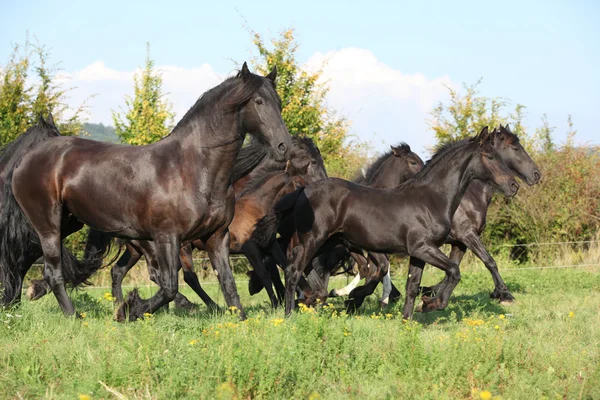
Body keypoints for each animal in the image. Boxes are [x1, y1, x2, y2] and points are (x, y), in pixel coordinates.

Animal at [0, 61, 290, 318]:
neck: (192, 169)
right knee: (53, 271)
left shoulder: (217, 237)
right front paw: (129, 311)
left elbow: (229, 286)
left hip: (70, 223)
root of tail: (27, 159)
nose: (282, 146)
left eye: (278, 102)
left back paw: (23, 296)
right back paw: (72, 315)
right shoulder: (167, 237)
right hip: (48, 224)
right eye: (258, 102)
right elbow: (169, 286)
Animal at [253, 126, 520, 318]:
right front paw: (431, 303)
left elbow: (413, 285)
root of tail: (302, 190)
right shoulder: (423, 247)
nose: (513, 185)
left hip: (330, 242)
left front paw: (407, 318)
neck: (431, 198)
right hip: (314, 239)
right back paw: (291, 314)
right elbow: (454, 271)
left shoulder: (419, 252)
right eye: (490, 156)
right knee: (293, 270)